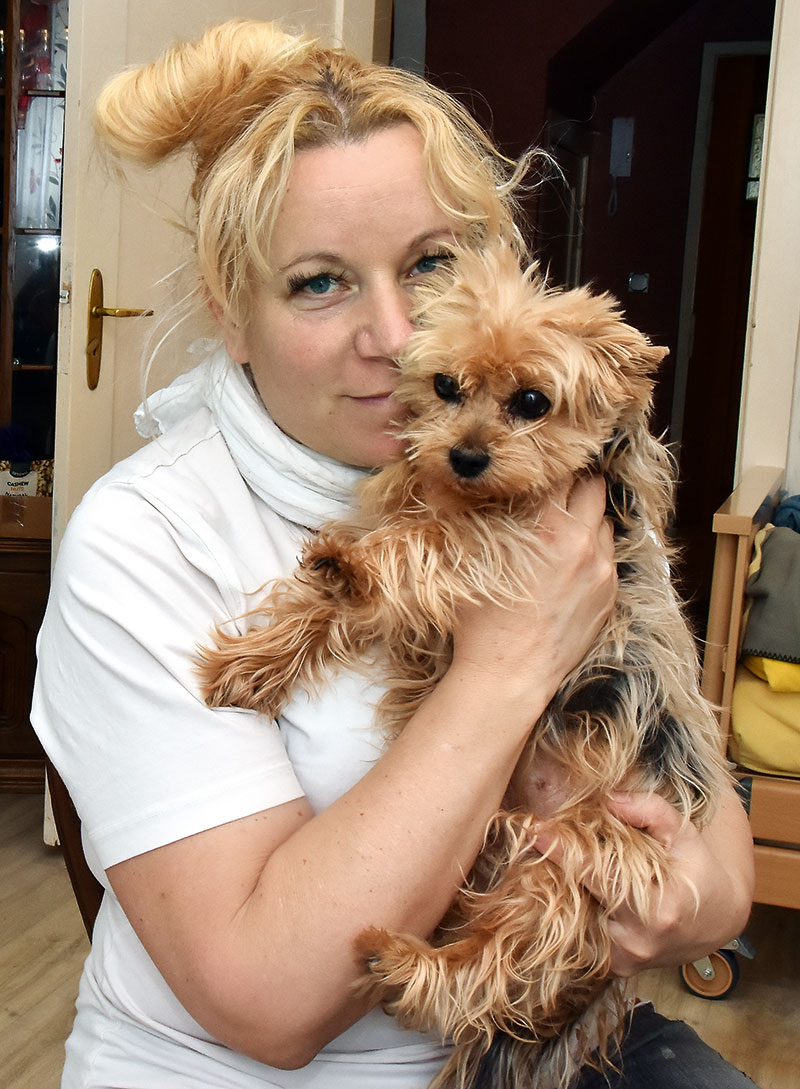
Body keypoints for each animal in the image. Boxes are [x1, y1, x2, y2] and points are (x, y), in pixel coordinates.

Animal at [197, 245, 727, 1089]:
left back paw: (409, 965)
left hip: (581, 857)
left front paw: (358, 563)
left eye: (534, 401)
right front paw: (257, 660)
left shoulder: (513, 544)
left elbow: (434, 546)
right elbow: (335, 600)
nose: (466, 455)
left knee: (508, 960)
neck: (478, 493)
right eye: (446, 387)